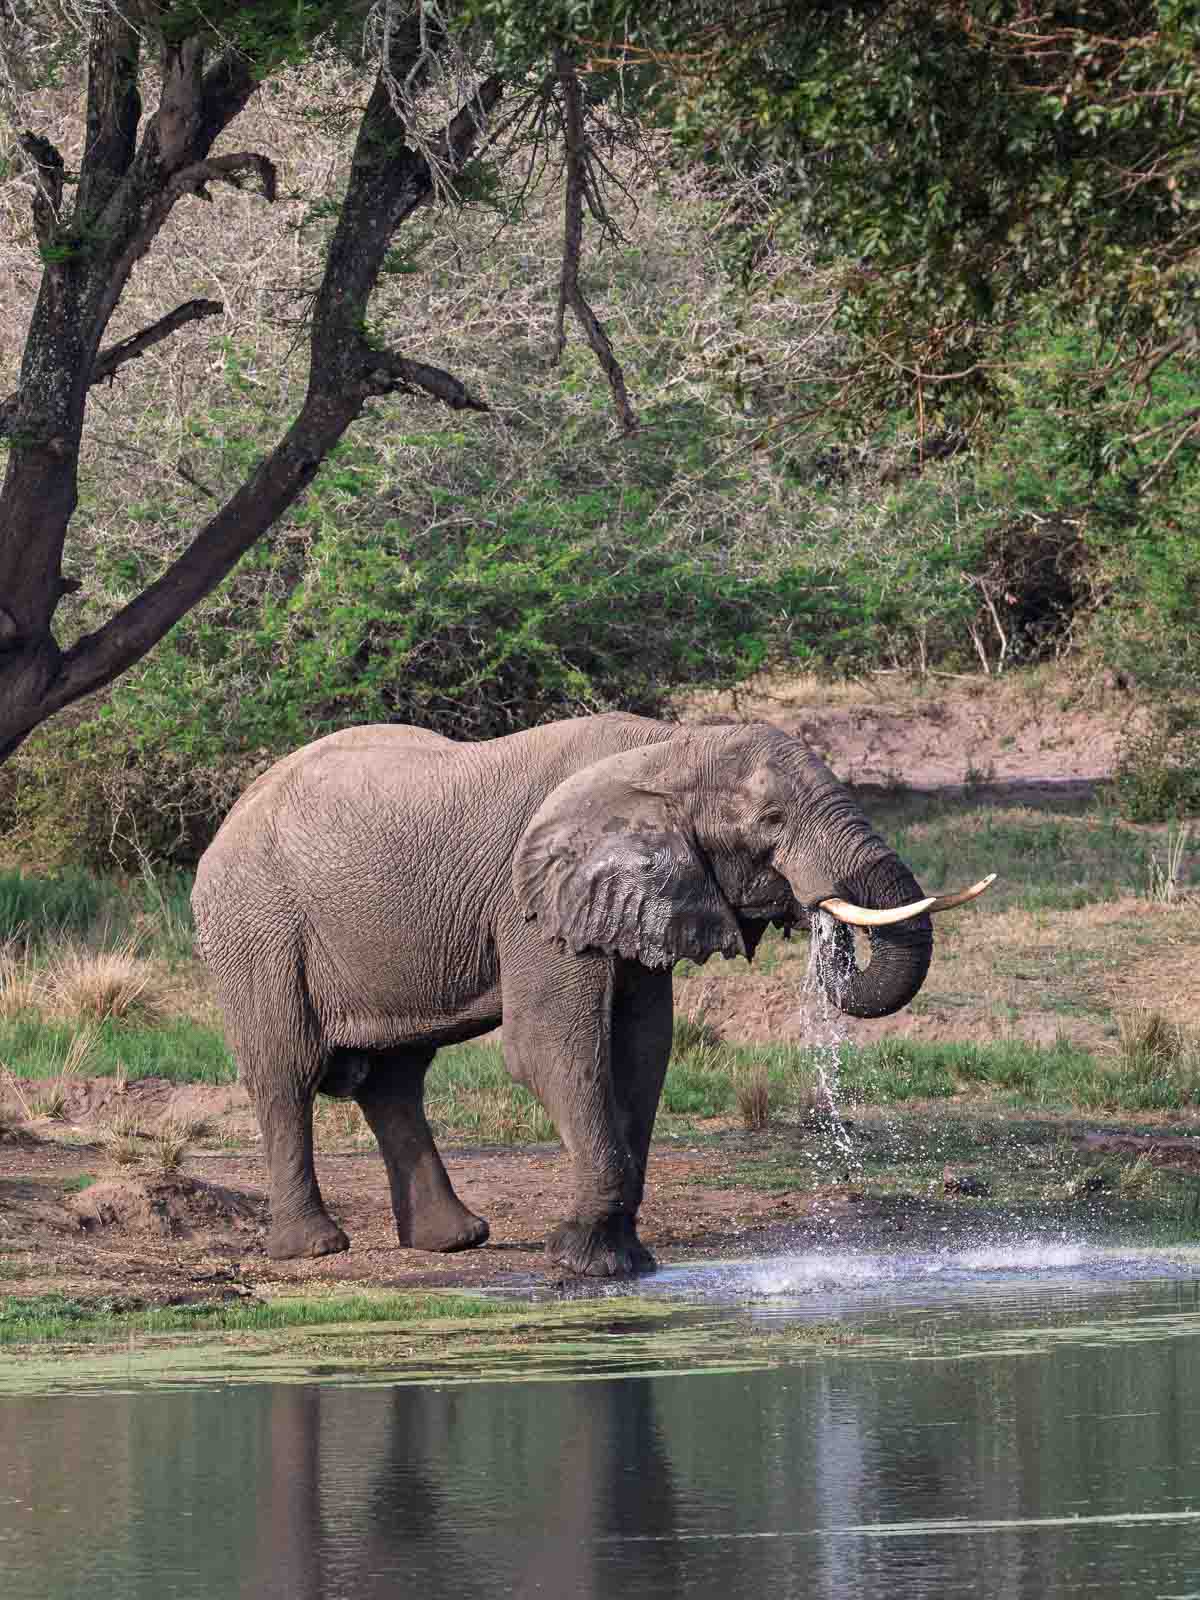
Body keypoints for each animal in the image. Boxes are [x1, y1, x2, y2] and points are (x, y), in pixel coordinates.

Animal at [191, 713, 991, 1276]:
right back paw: (315, 1249)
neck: (666, 749)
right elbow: (551, 1047)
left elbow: (643, 1046)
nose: (819, 923)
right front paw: (585, 1262)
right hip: (254, 925)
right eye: (770, 824)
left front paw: (625, 1259)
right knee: (287, 1069)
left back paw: (455, 1241)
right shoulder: (533, 898)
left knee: (397, 1078)